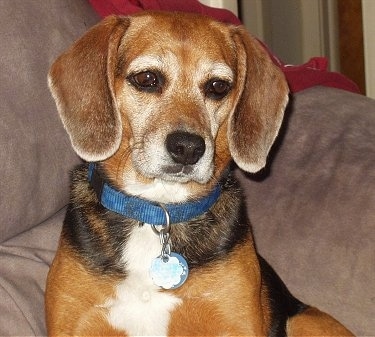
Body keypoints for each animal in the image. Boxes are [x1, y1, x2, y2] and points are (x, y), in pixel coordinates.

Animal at [44, 11, 356, 336]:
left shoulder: (235, 323)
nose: (188, 148)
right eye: (146, 79)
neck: (161, 209)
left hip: (302, 320)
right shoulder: (74, 323)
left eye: (218, 86)